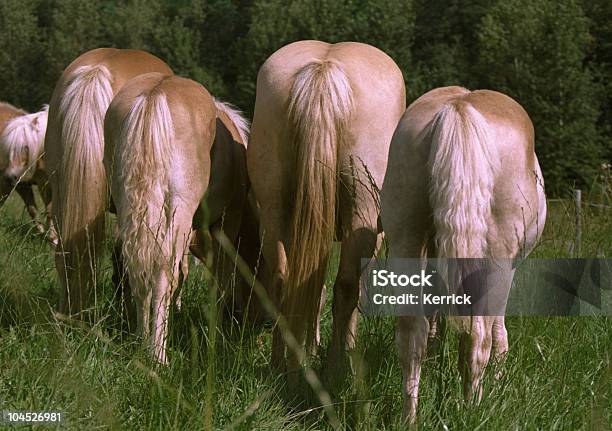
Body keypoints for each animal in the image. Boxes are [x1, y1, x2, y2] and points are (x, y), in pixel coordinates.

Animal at [103, 73, 260, 364]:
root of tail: (154, 95)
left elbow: (184, 273)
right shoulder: (227, 222)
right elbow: (219, 275)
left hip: (132, 208)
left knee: (137, 267)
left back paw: (141, 340)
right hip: (178, 209)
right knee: (162, 272)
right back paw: (158, 355)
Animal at [246, 39, 408, 374]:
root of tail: (324, 70)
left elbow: (313, 287)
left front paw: (309, 347)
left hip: (274, 209)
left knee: (283, 279)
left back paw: (281, 363)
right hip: (361, 208)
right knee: (346, 286)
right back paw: (336, 366)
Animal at [380, 86, 548, 424]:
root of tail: (459, 107)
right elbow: (499, 335)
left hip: (406, 238)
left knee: (411, 333)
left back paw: (409, 418)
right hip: (497, 262)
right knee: (477, 337)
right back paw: (473, 411)